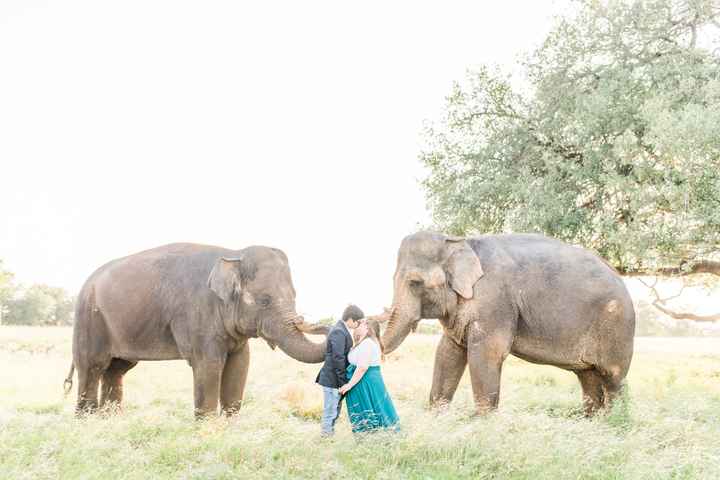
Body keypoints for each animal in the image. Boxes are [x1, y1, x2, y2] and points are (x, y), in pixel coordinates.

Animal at [64, 244, 326, 416]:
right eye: (265, 300)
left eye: (294, 295)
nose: (321, 324)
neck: (233, 254)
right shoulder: (197, 313)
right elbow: (208, 365)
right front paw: (208, 429)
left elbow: (240, 364)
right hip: (88, 318)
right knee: (92, 368)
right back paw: (88, 422)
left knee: (116, 370)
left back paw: (111, 419)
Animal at [380, 231, 632, 414]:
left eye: (414, 282)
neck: (459, 241)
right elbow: (448, 352)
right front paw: (437, 417)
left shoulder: (494, 300)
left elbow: (487, 353)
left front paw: (482, 424)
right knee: (587, 376)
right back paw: (591, 422)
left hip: (616, 326)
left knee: (613, 378)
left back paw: (615, 422)